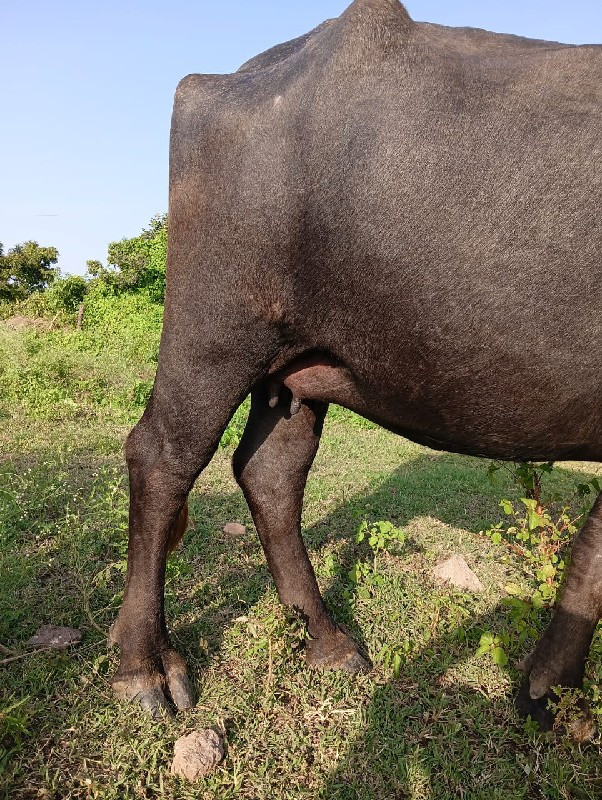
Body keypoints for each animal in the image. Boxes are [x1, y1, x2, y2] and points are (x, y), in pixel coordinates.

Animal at [109, 0, 600, 736]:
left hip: (295, 369)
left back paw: (325, 636)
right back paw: (144, 666)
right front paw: (550, 692)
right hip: (215, 329)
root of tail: (232, 78)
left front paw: (548, 689)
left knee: (269, 471)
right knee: (163, 456)